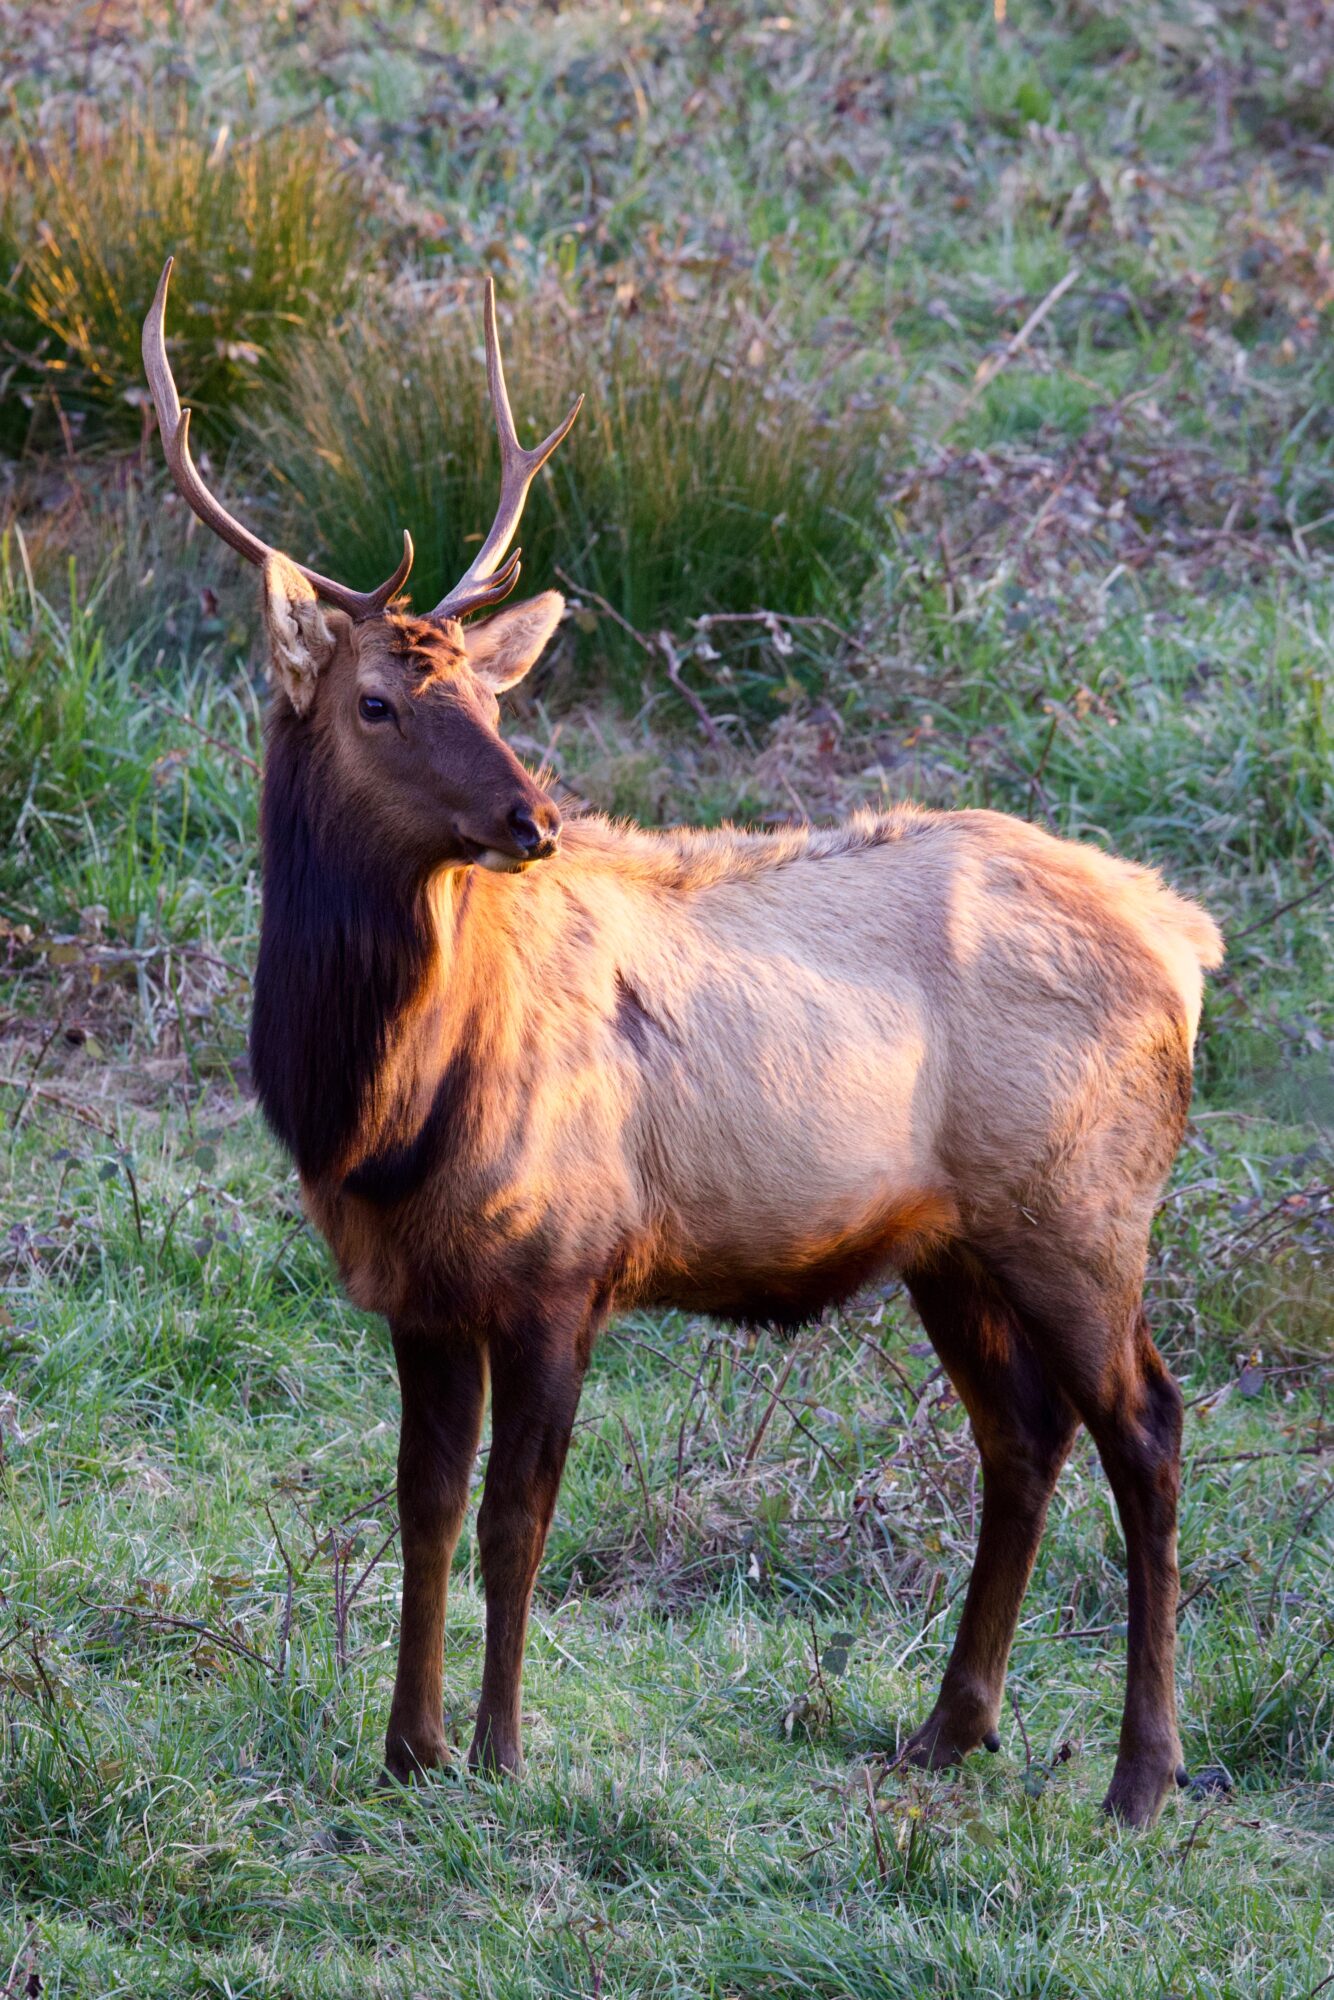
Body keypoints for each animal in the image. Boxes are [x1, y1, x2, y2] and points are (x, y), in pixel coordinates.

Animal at [142, 258, 1223, 1827]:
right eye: (377, 699)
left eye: (493, 693)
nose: (533, 814)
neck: (375, 1116)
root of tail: (1184, 940)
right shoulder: (415, 1291)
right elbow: (422, 1507)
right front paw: (403, 1751)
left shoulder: (561, 1264)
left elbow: (515, 1519)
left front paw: (496, 1753)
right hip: (953, 1242)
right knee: (1020, 1435)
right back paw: (947, 1727)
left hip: (1081, 1207)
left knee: (1145, 1426)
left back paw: (1141, 1775)